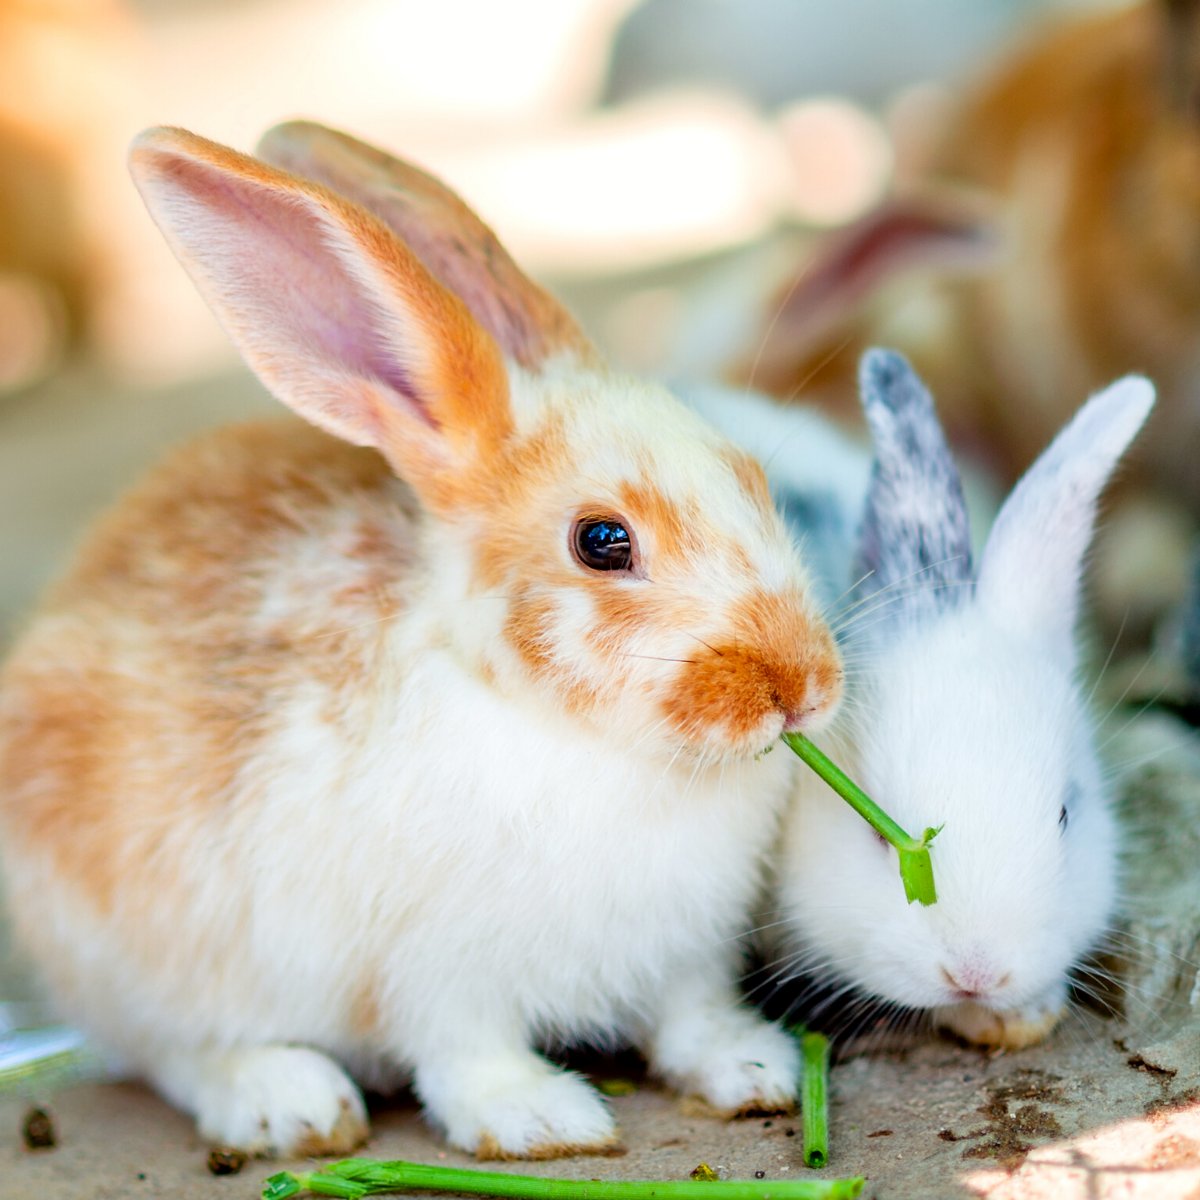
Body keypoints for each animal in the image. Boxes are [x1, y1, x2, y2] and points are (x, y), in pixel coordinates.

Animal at [0, 122, 845, 1160]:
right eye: (603, 541)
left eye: (754, 477)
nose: (802, 687)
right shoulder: (437, 977)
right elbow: (466, 1054)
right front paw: (541, 1120)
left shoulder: (686, 954)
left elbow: (690, 1018)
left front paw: (754, 1069)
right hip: (141, 955)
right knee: (177, 1052)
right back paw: (290, 1102)